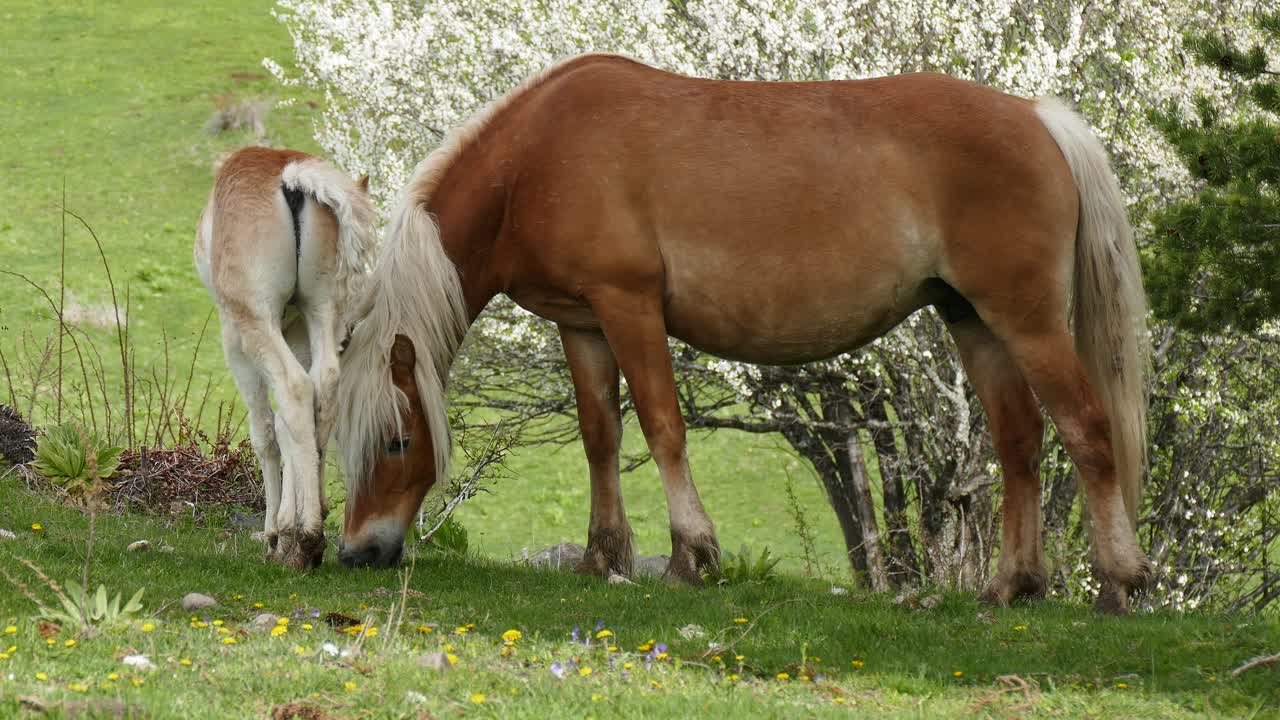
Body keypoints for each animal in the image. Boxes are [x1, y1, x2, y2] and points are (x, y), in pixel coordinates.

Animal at [196, 146, 375, 569]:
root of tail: (291, 176)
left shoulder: (236, 339)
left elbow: (266, 429)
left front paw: (274, 532)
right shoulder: (297, 331)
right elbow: (290, 427)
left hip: (254, 321)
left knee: (294, 390)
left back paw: (301, 538)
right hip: (320, 309)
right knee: (322, 386)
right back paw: (309, 531)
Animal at [334, 54, 1150, 612]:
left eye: (397, 442)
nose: (356, 553)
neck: (535, 160)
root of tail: (1037, 116)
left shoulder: (629, 306)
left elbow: (663, 426)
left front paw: (691, 556)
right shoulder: (581, 322)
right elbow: (601, 436)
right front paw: (603, 557)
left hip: (1027, 322)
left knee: (1088, 430)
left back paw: (1120, 582)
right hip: (973, 321)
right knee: (1020, 442)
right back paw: (1012, 583)